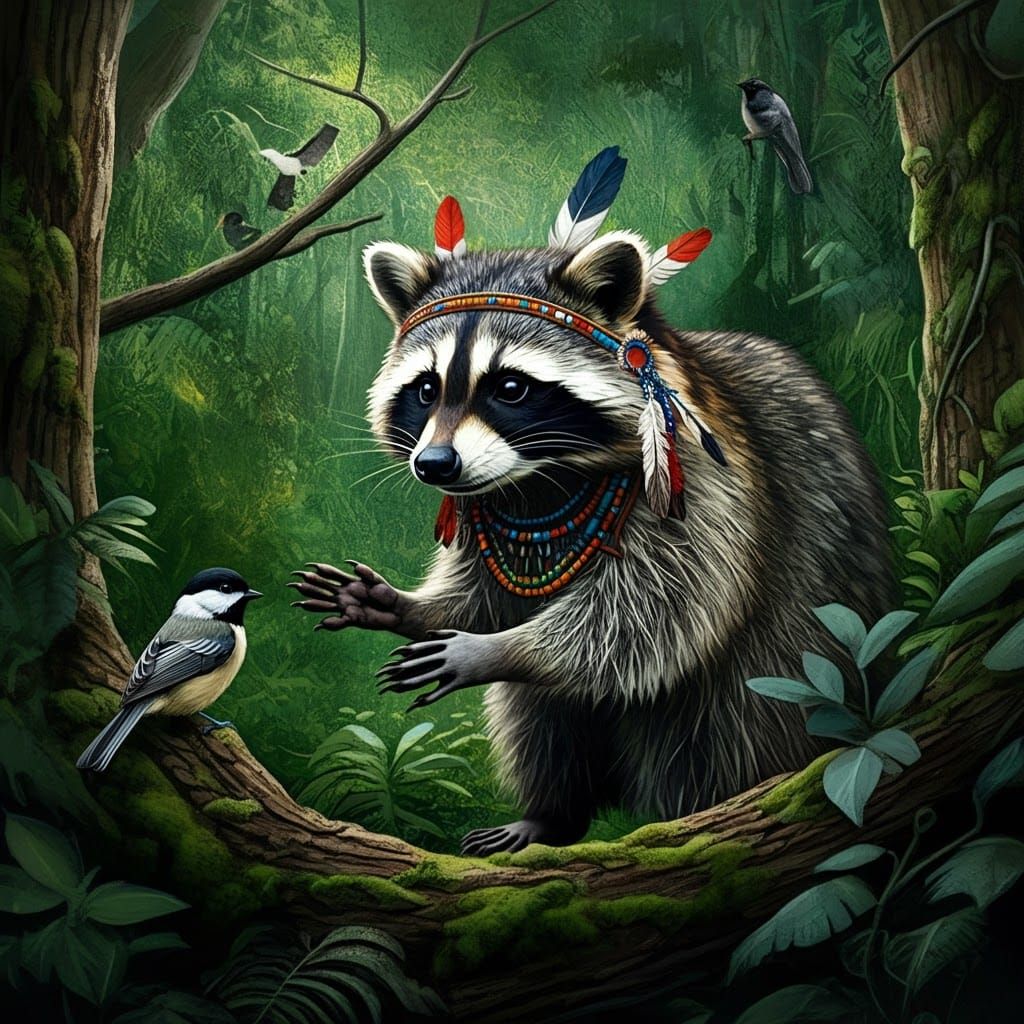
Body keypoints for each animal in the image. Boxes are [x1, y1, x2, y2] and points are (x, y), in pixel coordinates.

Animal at [294, 222, 891, 855]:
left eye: (510, 387)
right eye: (426, 389)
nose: (434, 465)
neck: (541, 480)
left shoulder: (701, 481)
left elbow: (654, 616)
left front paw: (500, 649)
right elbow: (485, 599)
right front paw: (407, 606)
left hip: (799, 645)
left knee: (733, 726)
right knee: (537, 718)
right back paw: (552, 812)